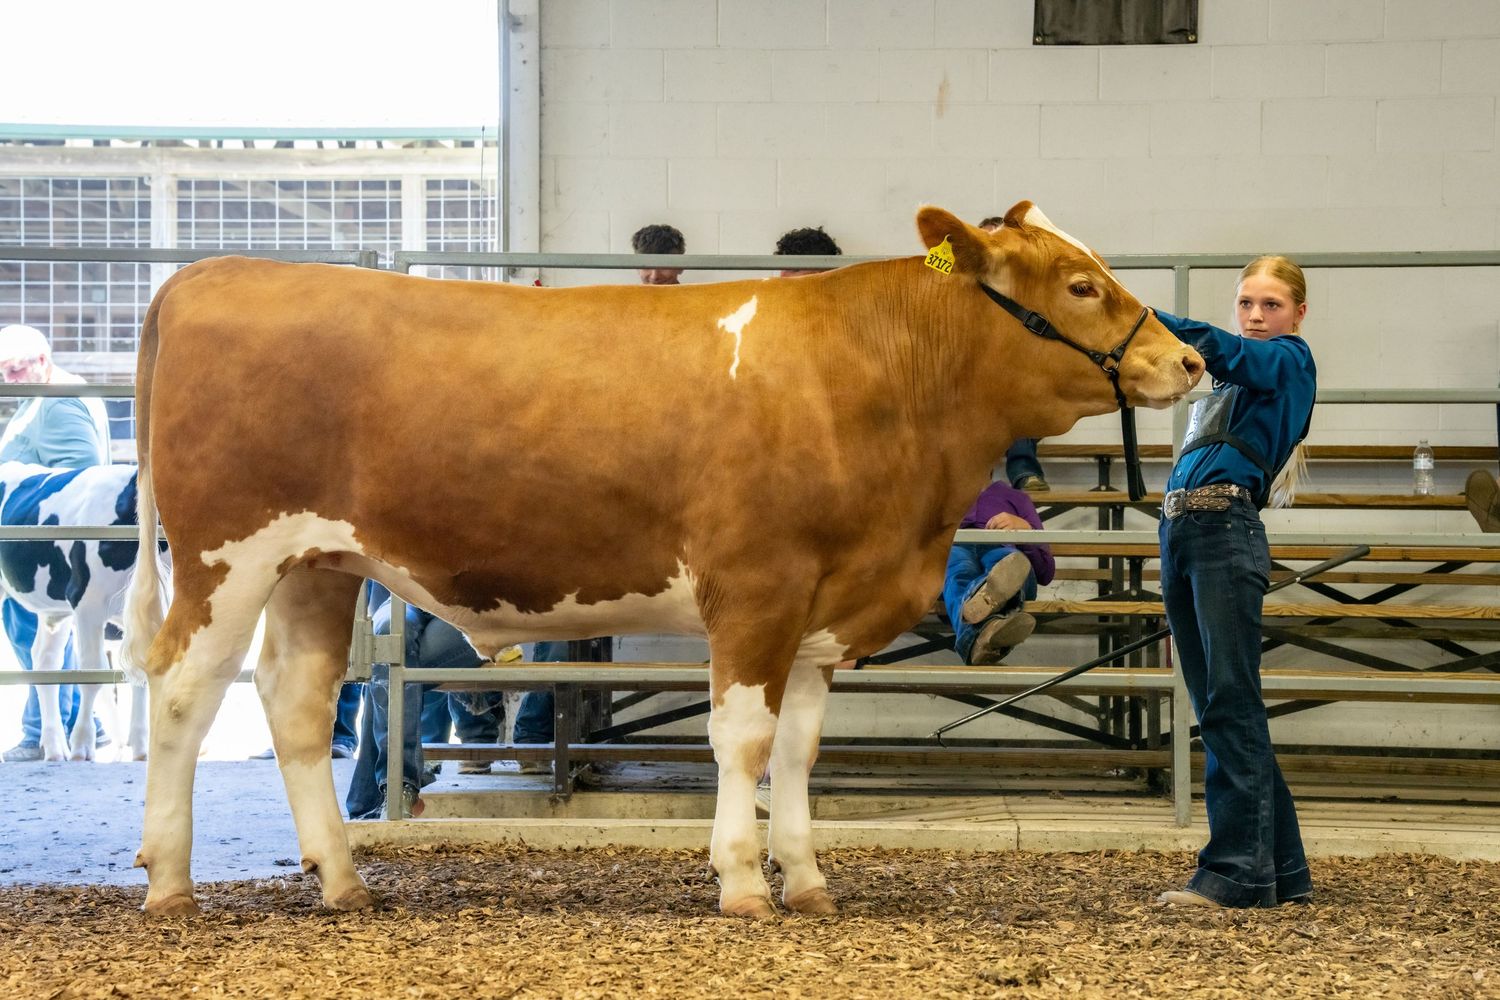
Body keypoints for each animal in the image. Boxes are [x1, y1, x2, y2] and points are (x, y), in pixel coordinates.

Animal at [0, 461, 150, 761]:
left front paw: (141, 749)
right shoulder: (87, 603)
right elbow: (91, 674)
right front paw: (82, 744)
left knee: (45, 661)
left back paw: (55, 748)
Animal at [121, 201, 1204, 917]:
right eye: (1080, 284)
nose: (1189, 360)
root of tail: (215, 272)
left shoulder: (824, 605)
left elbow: (800, 749)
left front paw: (808, 881)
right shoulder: (757, 588)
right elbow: (743, 741)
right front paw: (741, 881)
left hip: (317, 563)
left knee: (295, 700)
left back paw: (343, 881)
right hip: (227, 553)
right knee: (181, 690)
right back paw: (170, 883)